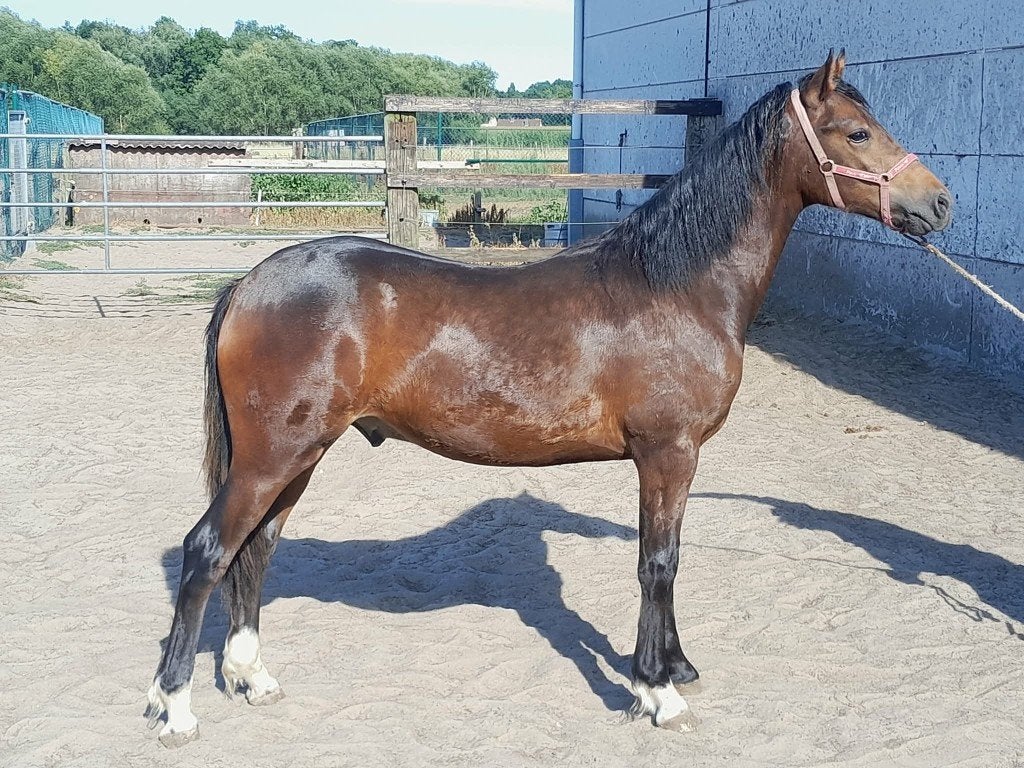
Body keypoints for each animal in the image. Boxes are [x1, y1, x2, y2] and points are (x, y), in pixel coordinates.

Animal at [146, 51, 952, 747]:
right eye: (856, 132)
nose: (939, 202)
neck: (677, 286)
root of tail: (248, 283)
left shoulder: (672, 460)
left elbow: (668, 555)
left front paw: (675, 667)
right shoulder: (668, 454)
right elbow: (658, 563)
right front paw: (658, 692)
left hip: (299, 456)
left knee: (255, 550)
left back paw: (251, 677)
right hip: (271, 457)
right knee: (208, 550)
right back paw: (176, 706)